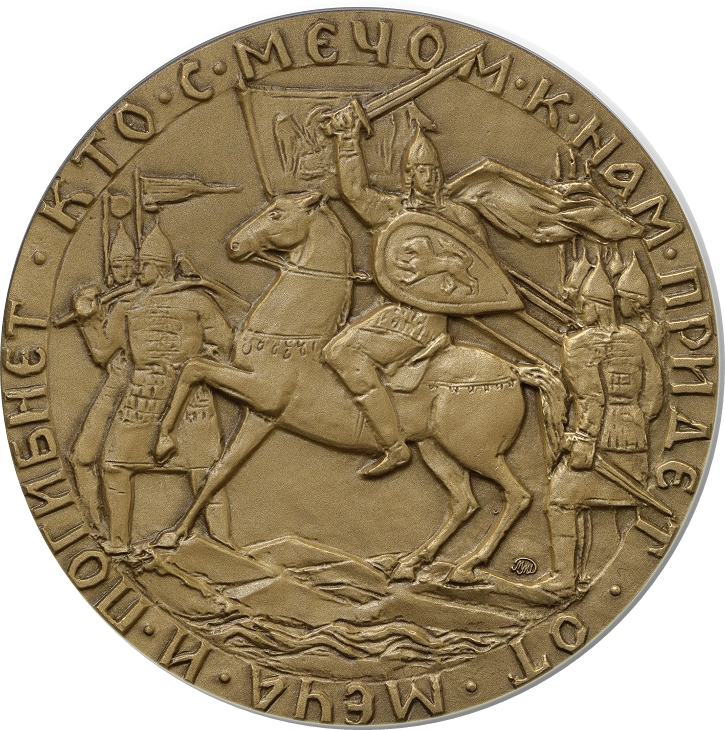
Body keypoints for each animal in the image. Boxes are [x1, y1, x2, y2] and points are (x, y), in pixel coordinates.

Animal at [154, 191, 565, 583]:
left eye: (276, 213)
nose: (234, 245)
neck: (298, 334)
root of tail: (514, 371)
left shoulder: (262, 392)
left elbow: (193, 368)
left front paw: (163, 445)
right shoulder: (260, 414)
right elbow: (220, 469)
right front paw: (172, 534)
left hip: (475, 450)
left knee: (517, 495)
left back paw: (465, 566)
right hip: (436, 448)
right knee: (464, 502)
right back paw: (409, 564)